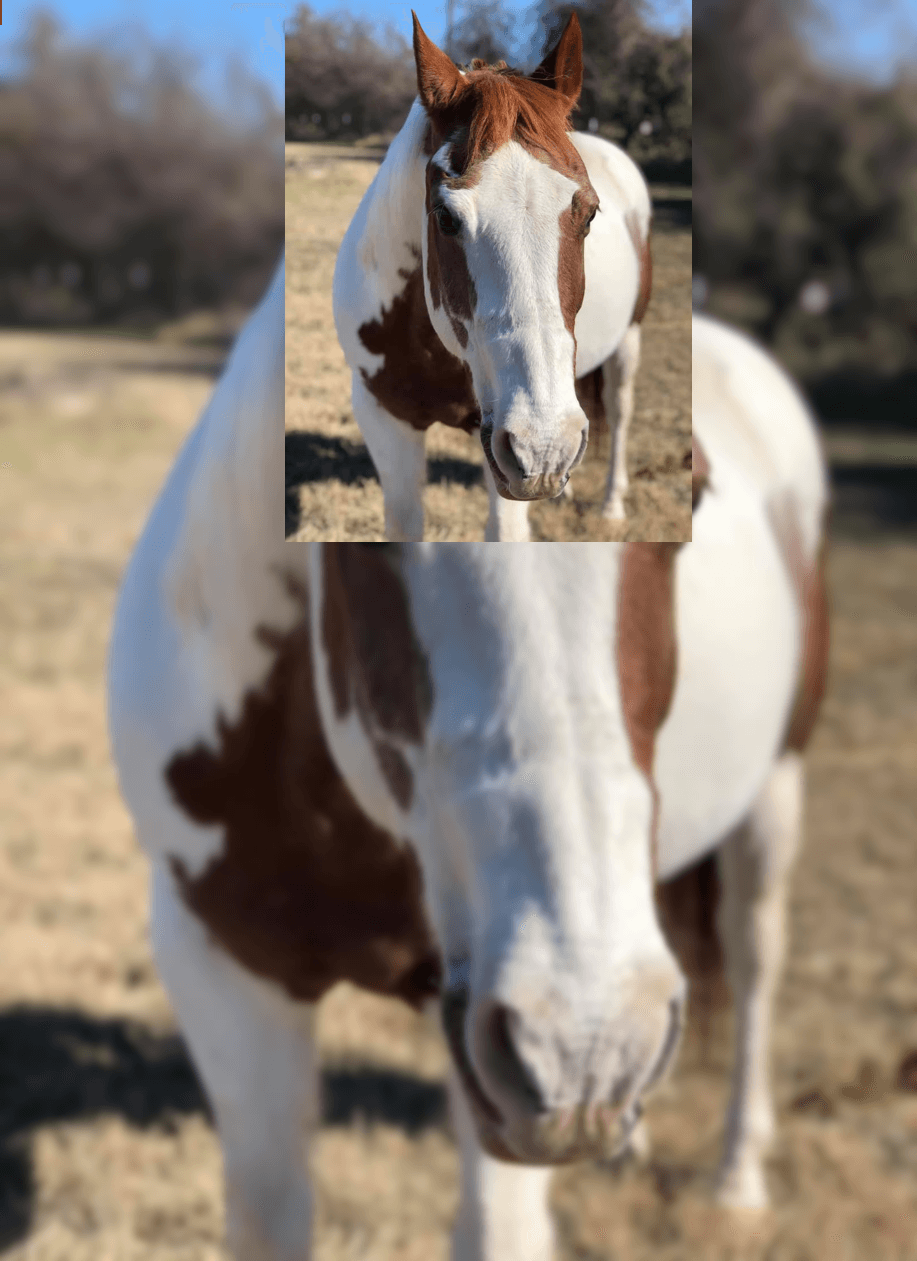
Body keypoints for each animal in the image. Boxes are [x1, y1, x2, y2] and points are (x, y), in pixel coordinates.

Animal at [108, 278, 829, 1260]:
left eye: (697, 499)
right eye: (370, 550)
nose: (584, 1048)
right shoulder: (220, 963)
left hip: (776, 792)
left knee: (755, 960)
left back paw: (737, 1178)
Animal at [332, 13, 653, 542]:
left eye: (588, 214)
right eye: (445, 217)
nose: (546, 447)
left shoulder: (503, 455)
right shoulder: (384, 417)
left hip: (629, 339)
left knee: (622, 411)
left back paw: (611, 506)